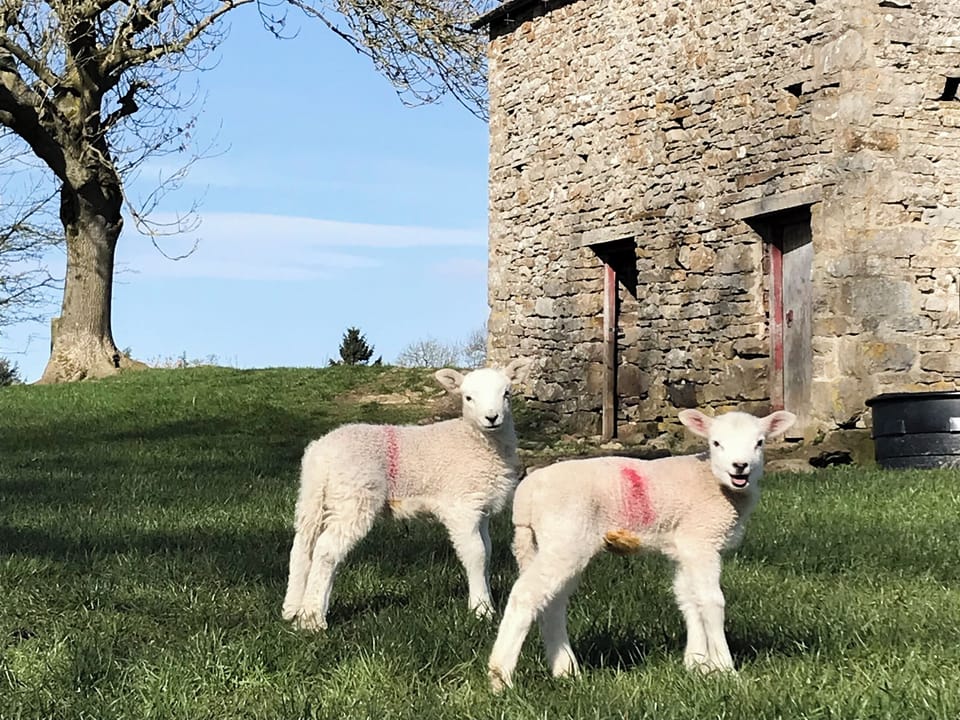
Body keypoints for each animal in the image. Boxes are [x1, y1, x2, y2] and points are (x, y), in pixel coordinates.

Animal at [282, 357, 534, 631]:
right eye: (468, 397)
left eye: (507, 393)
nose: (492, 417)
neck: (476, 441)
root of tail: (321, 453)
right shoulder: (462, 507)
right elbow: (476, 554)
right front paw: (481, 610)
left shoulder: (482, 508)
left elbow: (487, 552)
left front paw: (485, 600)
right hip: (354, 496)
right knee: (326, 550)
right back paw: (312, 618)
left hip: (315, 497)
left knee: (303, 546)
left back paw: (293, 610)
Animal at [487, 408, 796, 691]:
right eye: (716, 442)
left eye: (759, 442)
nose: (739, 466)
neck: (713, 481)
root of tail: (525, 497)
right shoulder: (701, 540)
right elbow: (711, 601)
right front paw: (724, 669)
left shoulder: (682, 545)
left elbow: (688, 598)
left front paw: (697, 664)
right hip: (564, 535)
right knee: (526, 595)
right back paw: (500, 677)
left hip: (552, 542)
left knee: (552, 602)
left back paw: (566, 671)